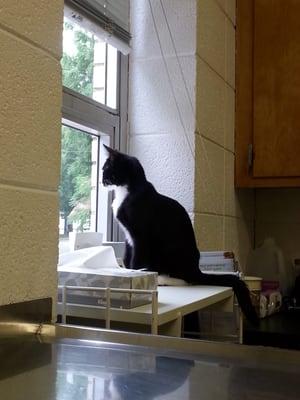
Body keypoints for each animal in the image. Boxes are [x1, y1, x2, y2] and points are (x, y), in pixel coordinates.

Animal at [102, 145, 258, 324]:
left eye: (105, 168)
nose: (101, 179)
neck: (128, 190)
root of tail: (197, 270)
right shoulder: (128, 237)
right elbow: (128, 256)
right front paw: (127, 271)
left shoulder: (140, 235)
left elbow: (137, 258)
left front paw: (136, 275)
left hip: (170, 251)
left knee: (185, 279)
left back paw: (162, 280)